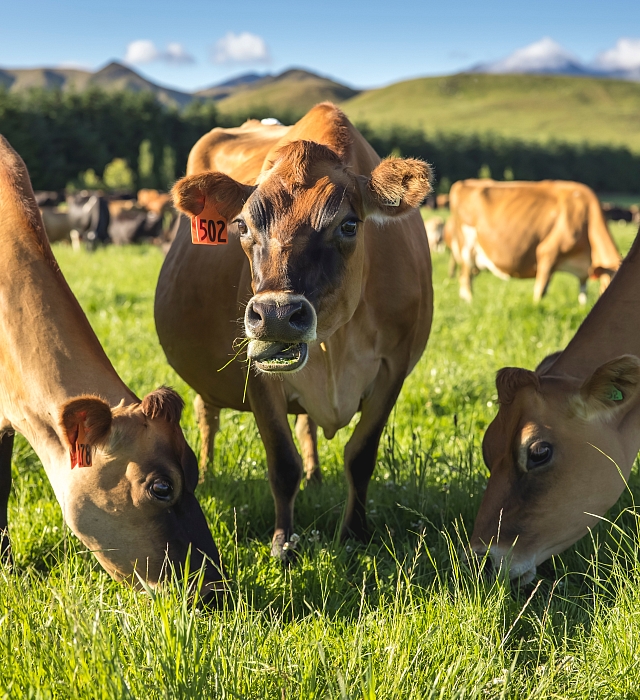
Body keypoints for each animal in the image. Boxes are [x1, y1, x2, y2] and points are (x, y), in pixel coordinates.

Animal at [156, 102, 436, 556]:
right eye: (242, 226)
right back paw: (210, 470)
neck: (334, 343)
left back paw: (316, 475)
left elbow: (361, 456)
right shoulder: (257, 373)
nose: (275, 314)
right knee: (206, 413)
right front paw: (283, 543)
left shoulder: (394, 367)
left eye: (349, 225)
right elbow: (282, 463)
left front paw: (354, 533)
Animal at [444, 178, 620, 304]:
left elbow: (582, 294)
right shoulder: (548, 252)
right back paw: (470, 302)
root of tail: (464, 182)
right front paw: (537, 307)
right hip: (467, 248)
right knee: (465, 279)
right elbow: (540, 291)